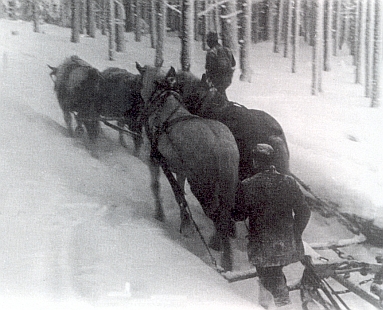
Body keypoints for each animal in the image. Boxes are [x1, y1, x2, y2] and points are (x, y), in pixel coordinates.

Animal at [136, 63, 240, 272]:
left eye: (141, 81)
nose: (141, 107)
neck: (163, 106)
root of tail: (223, 148)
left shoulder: (155, 159)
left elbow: (156, 186)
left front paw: (160, 214)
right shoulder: (180, 169)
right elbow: (180, 195)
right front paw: (185, 222)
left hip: (203, 187)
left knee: (217, 216)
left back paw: (223, 256)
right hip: (228, 187)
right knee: (224, 216)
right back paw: (221, 248)